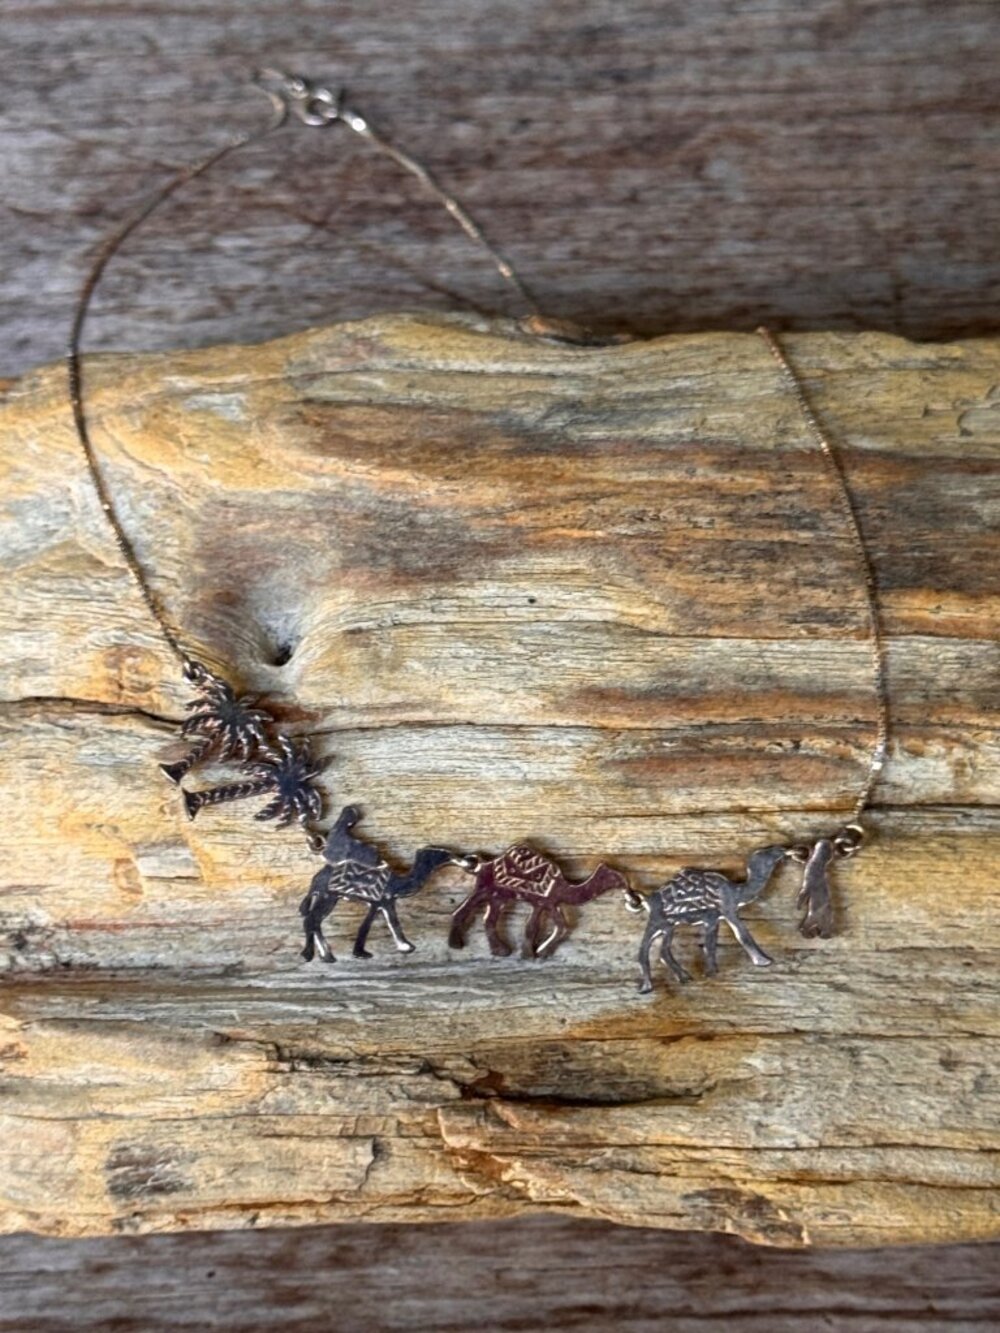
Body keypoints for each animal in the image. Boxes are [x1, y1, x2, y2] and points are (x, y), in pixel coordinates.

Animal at [448, 843, 628, 957]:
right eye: (613, 875)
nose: (626, 883)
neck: (564, 886)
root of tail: (482, 865)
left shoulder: (551, 904)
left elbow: (561, 926)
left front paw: (541, 951)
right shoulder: (542, 902)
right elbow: (533, 927)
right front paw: (529, 954)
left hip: (499, 895)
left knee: (489, 919)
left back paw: (500, 950)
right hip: (485, 888)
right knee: (463, 910)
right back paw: (456, 944)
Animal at [633, 844, 789, 992]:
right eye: (770, 851)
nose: (784, 850)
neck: (737, 891)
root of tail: (646, 900)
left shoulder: (712, 918)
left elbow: (710, 944)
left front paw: (710, 972)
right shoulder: (727, 908)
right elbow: (741, 934)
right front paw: (765, 961)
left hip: (667, 924)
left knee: (656, 951)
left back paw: (671, 981)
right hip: (660, 920)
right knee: (650, 950)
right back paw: (660, 984)